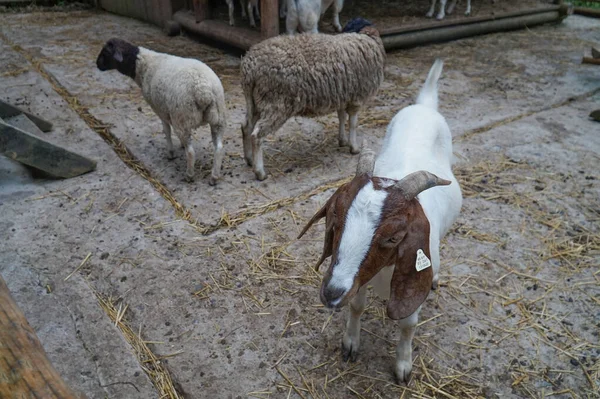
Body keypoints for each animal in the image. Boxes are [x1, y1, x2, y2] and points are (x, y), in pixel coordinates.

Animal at [96, 38, 227, 185]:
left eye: (106, 52)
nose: (97, 64)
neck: (143, 66)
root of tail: (203, 90)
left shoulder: (160, 110)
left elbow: (167, 131)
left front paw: (170, 153)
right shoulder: (169, 112)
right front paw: (180, 145)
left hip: (182, 117)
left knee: (191, 152)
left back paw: (189, 175)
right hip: (218, 118)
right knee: (219, 148)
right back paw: (214, 176)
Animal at [239, 18, 384, 181]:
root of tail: (250, 68)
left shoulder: (342, 95)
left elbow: (341, 117)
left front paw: (342, 140)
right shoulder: (356, 97)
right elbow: (353, 123)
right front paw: (354, 148)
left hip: (255, 102)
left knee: (246, 127)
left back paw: (249, 159)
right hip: (276, 104)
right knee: (256, 135)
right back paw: (260, 172)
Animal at [298, 60, 462, 384]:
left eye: (393, 237)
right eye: (337, 219)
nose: (331, 293)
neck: (385, 274)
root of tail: (424, 105)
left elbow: (408, 324)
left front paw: (403, 366)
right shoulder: (358, 280)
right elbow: (357, 305)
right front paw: (350, 343)